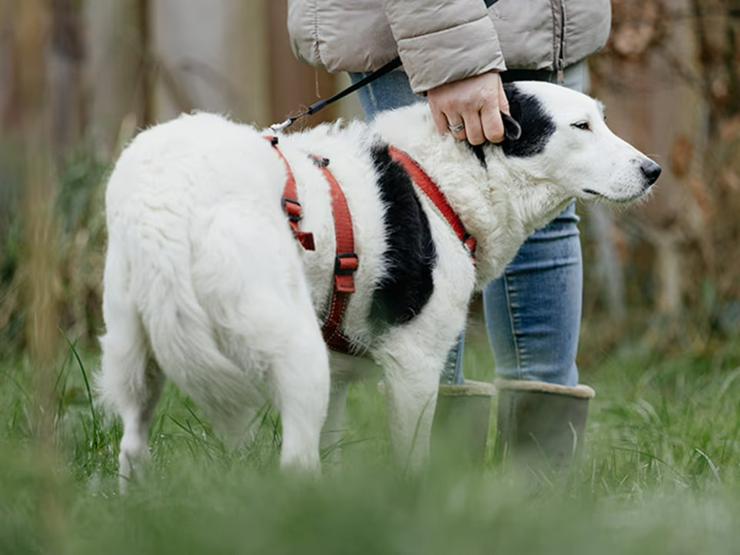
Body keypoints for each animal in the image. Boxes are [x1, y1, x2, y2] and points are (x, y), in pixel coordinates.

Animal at [97, 79, 660, 486]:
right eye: (582, 126)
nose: (652, 170)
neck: (442, 179)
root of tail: (165, 201)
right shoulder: (415, 362)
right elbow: (411, 458)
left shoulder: (340, 375)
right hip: (295, 352)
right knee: (295, 464)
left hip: (136, 353)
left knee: (132, 449)